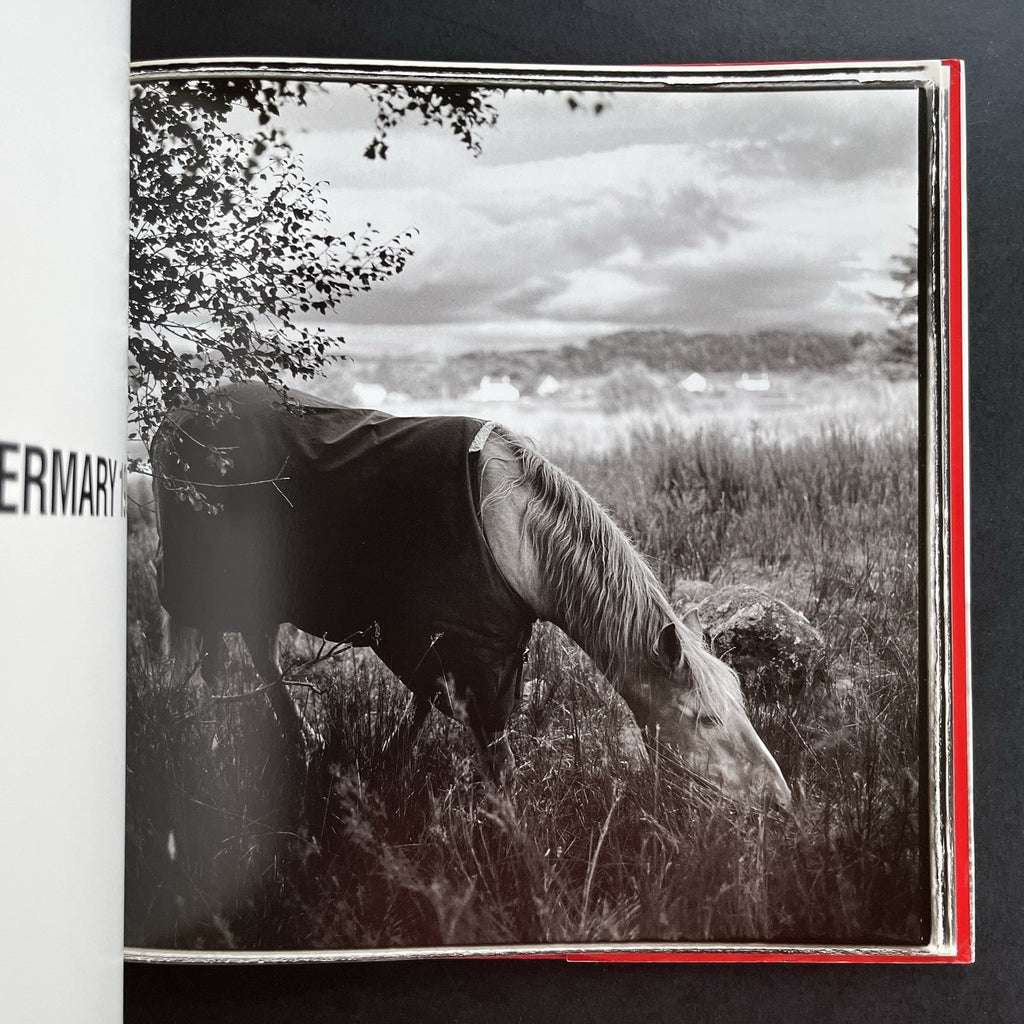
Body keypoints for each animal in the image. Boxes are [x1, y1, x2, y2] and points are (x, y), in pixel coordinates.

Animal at [152, 381, 791, 807]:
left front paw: (388, 761)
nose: (781, 800)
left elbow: (421, 706)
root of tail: (177, 414)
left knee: (253, 650)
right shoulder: (467, 653)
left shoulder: (471, 646)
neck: (519, 536)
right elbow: (495, 757)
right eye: (705, 719)